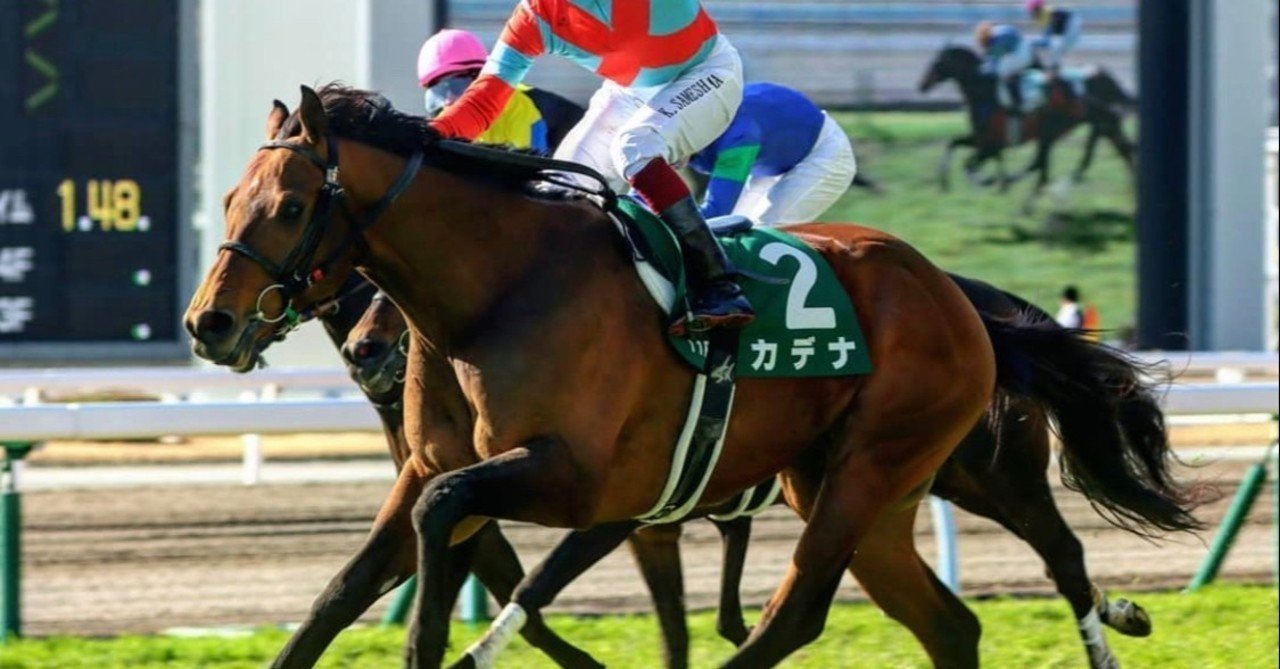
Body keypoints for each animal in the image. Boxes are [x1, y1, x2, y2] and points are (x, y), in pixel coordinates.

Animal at [182, 84, 1184, 668]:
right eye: (229, 199)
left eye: (291, 205)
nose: (207, 322)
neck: (500, 291)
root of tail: (957, 296)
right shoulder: (442, 468)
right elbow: (342, 591)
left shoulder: (584, 480)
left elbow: (467, 539)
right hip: (854, 485)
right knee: (948, 623)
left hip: (896, 467)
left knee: (810, 609)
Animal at [918, 45, 1136, 200]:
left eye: (938, 62)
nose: (922, 85)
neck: (985, 92)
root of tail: (1103, 74)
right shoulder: (981, 141)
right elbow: (953, 143)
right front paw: (944, 182)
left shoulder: (989, 145)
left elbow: (970, 164)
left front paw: (988, 181)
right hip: (1096, 125)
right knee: (1120, 149)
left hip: (1067, 129)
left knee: (1044, 165)